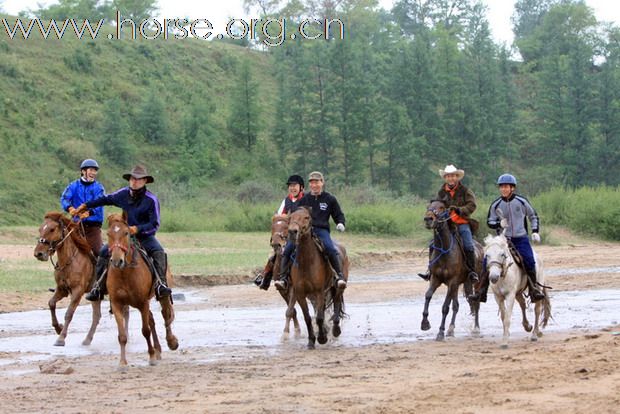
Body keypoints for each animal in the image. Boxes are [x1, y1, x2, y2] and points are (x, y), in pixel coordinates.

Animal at [33, 213, 101, 346]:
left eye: (52, 229)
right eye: (40, 229)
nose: (38, 253)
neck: (70, 260)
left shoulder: (78, 291)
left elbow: (69, 313)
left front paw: (61, 338)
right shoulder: (61, 289)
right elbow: (51, 303)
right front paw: (58, 328)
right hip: (95, 296)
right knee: (97, 316)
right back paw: (87, 339)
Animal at [105, 213, 178, 368]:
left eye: (126, 233)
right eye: (108, 234)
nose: (117, 261)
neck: (125, 273)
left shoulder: (143, 303)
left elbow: (145, 330)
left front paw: (151, 357)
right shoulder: (117, 304)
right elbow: (122, 335)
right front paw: (122, 362)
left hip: (162, 295)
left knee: (166, 315)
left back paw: (171, 342)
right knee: (152, 319)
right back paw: (158, 350)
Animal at [286, 207, 348, 350]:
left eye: (306, 217)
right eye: (291, 217)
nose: (292, 231)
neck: (307, 261)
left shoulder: (319, 292)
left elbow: (319, 317)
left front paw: (322, 338)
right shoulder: (300, 294)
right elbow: (308, 317)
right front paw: (311, 341)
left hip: (338, 288)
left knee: (337, 305)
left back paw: (335, 330)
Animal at [422, 200, 484, 340]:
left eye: (441, 207)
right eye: (428, 206)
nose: (428, 219)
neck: (445, 251)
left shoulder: (452, 282)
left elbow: (445, 307)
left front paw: (440, 332)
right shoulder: (435, 279)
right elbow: (428, 295)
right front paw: (425, 323)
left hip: (476, 282)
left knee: (476, 303)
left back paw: (476, 329)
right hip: (460, 284)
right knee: (456, 306)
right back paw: (451, 329)